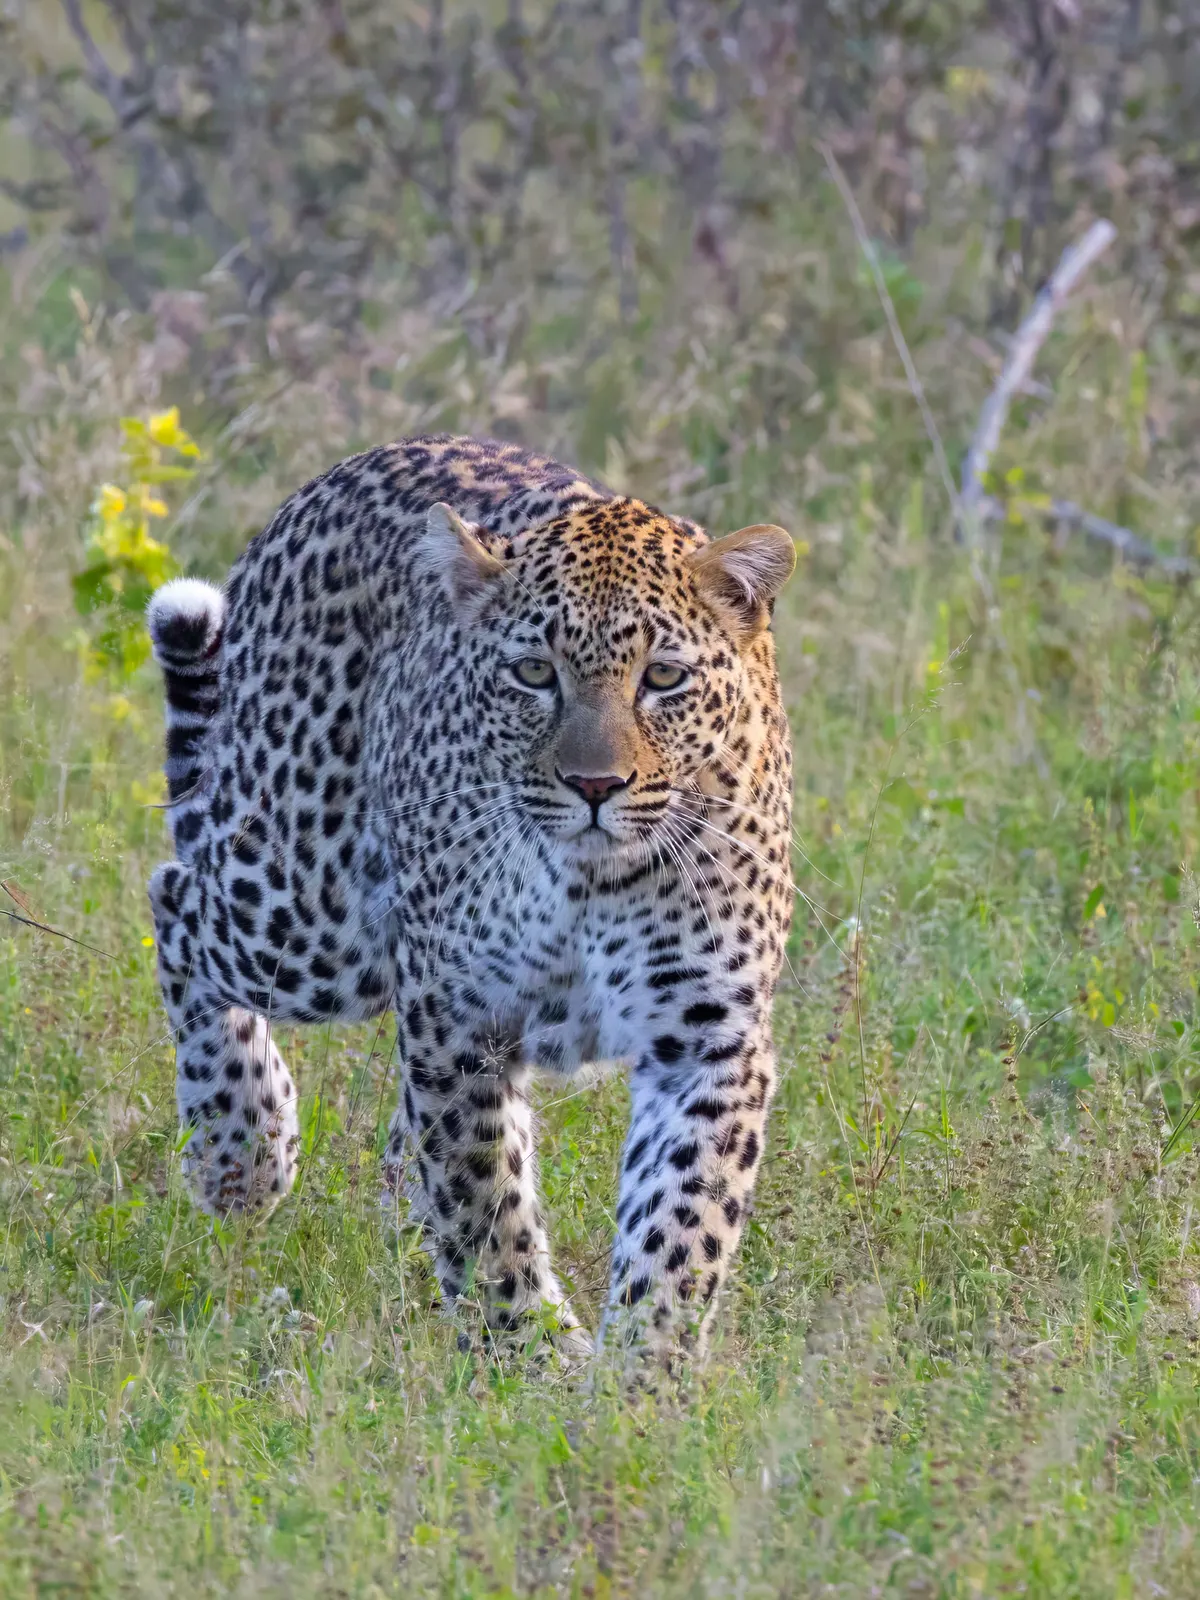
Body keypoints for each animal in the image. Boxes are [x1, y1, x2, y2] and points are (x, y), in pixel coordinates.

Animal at [146, 433, 796, 1363]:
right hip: (311, 917)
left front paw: (642, 1373)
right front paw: (527, 1356)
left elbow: (681, 1223)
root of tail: (328, 480)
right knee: (176, 903)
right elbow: (485, 1199)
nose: (595, 785)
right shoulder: (461, 1014)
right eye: (533, 673)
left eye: (664, 678)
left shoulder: (707, 1034)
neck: (593, 878)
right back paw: (242, 1152)